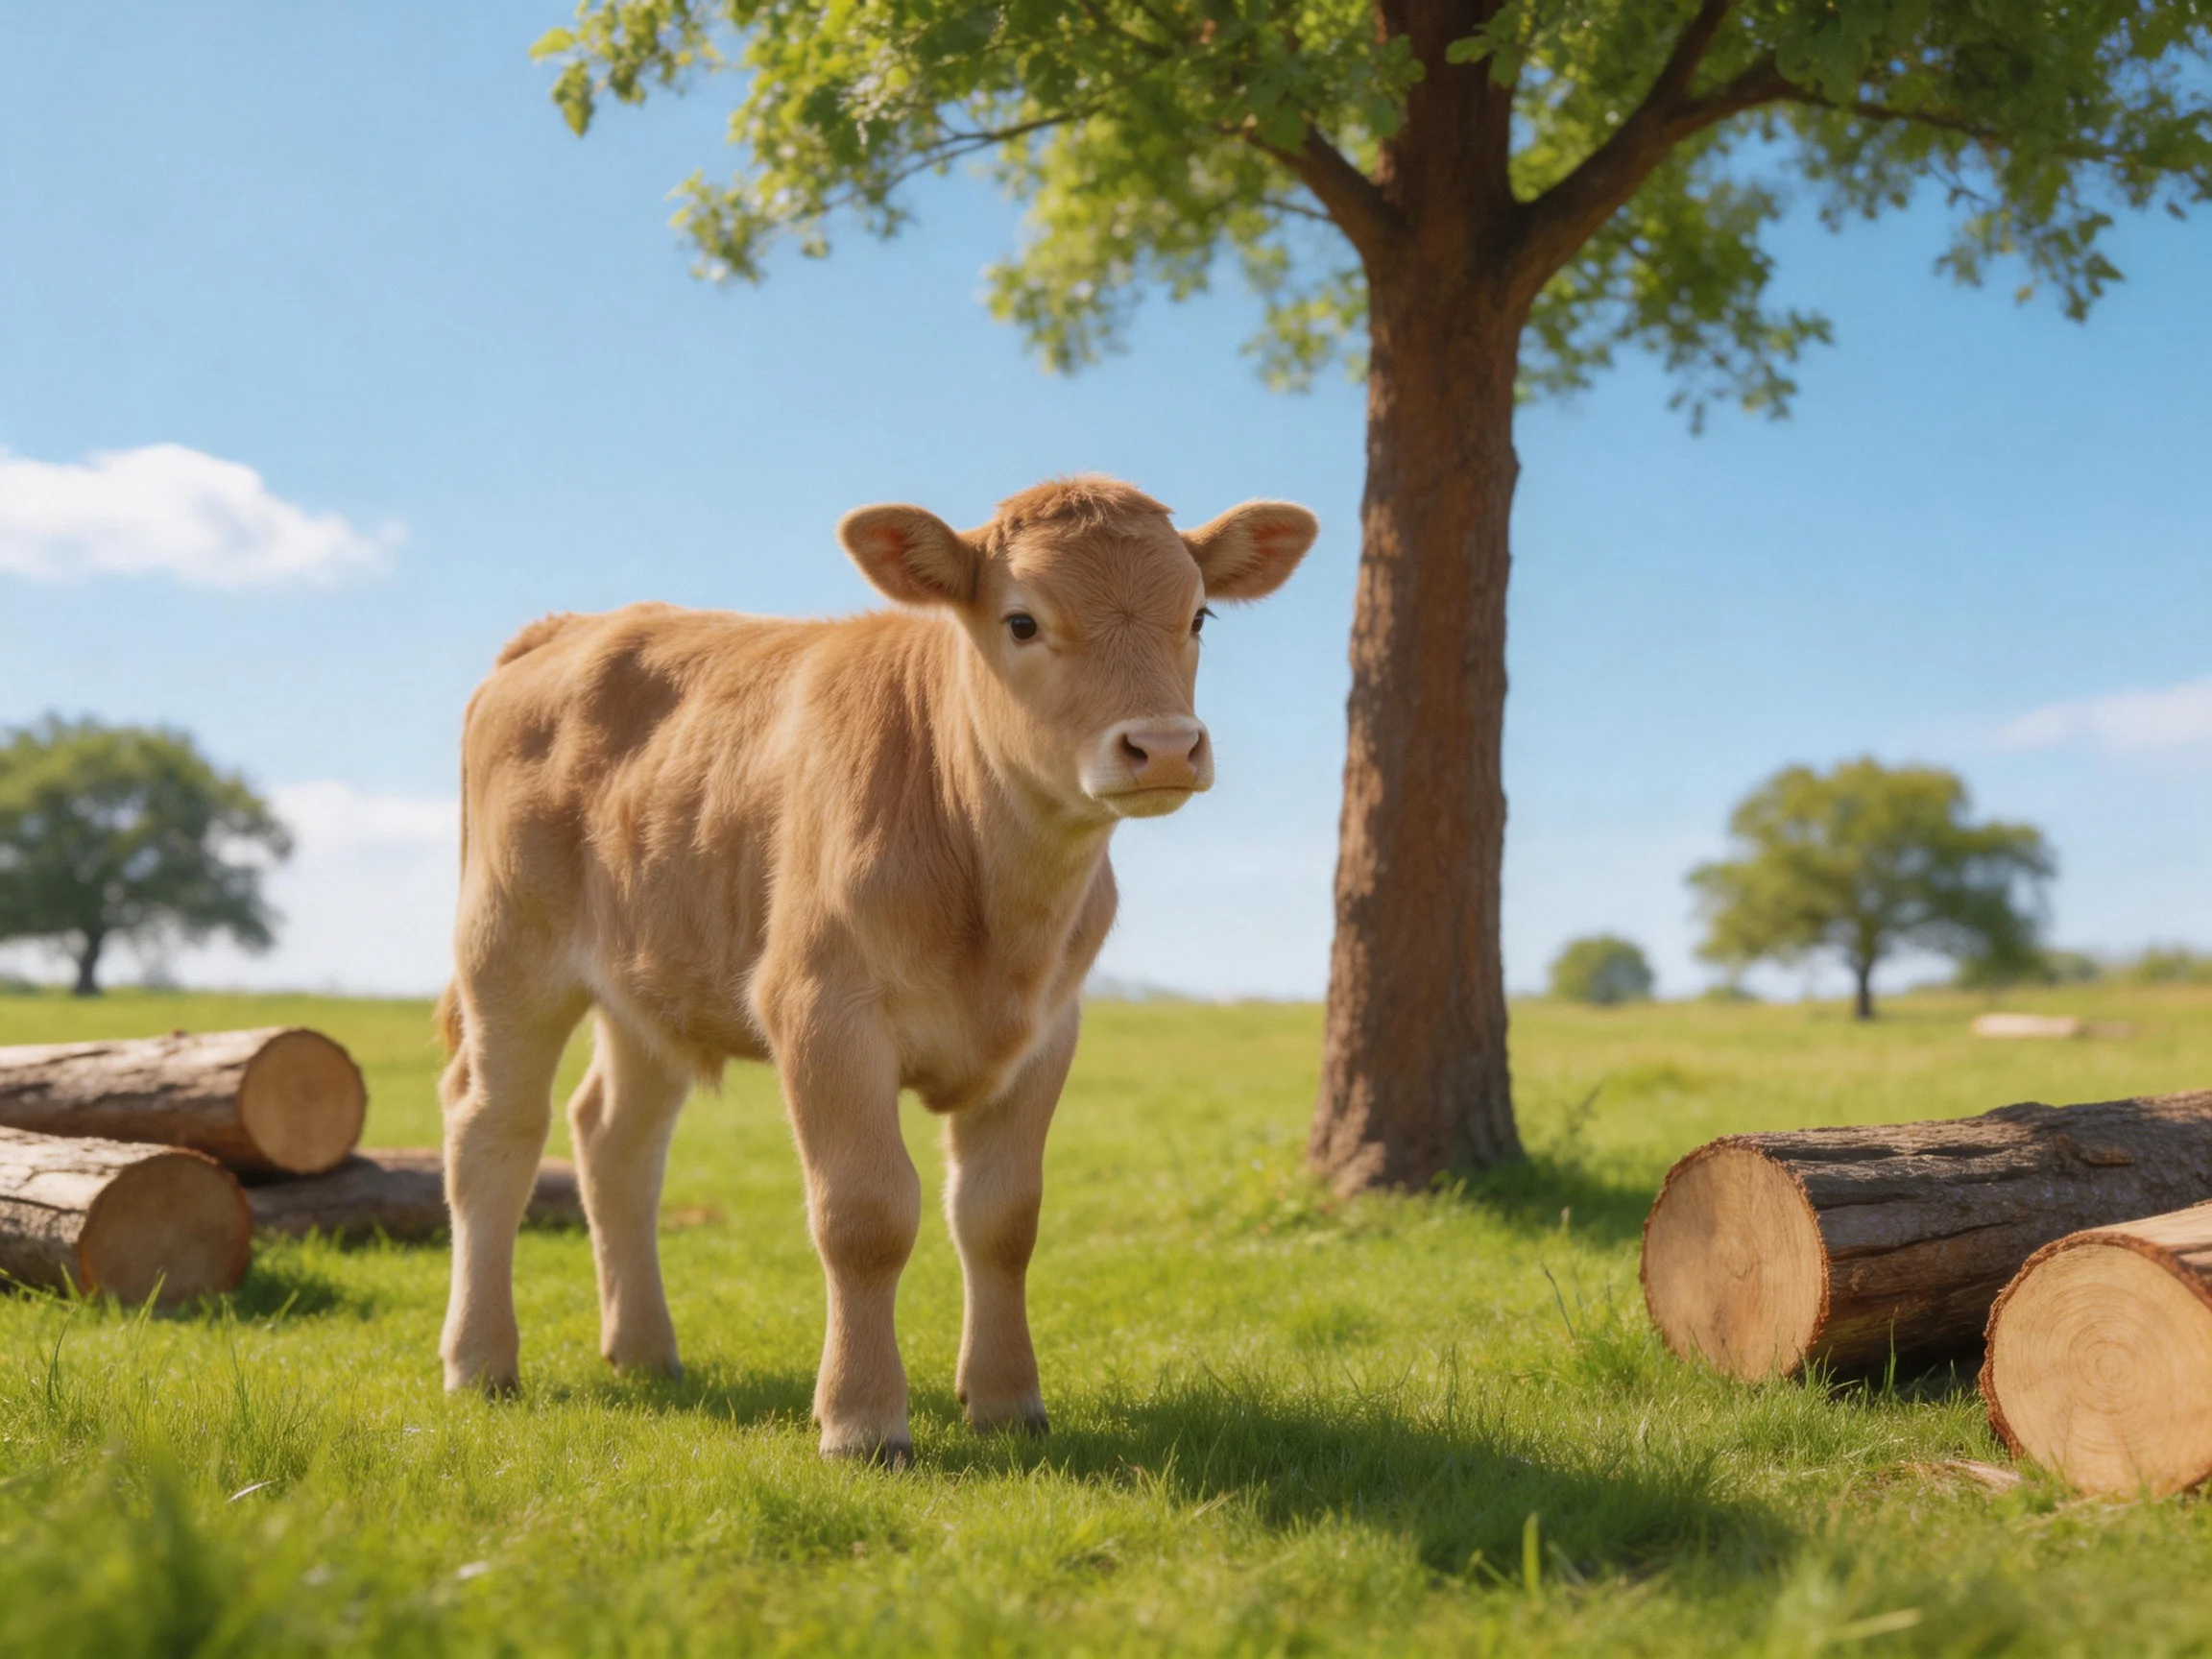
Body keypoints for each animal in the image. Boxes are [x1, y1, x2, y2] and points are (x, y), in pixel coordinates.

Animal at [436, 475, 1316, 1463]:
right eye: (1021, 620)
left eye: (1198, 614)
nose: (1163, 745)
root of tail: (573, 626)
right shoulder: (822, 1012)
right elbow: (865, 1217)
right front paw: (860, 1419)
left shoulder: (1049, 1030)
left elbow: (1003, 1218)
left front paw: (1007, 1400)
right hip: (508, 949)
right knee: (494, 1132)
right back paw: (481, 1361)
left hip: (650, 980)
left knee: (614, 1139)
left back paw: (645, 1351)